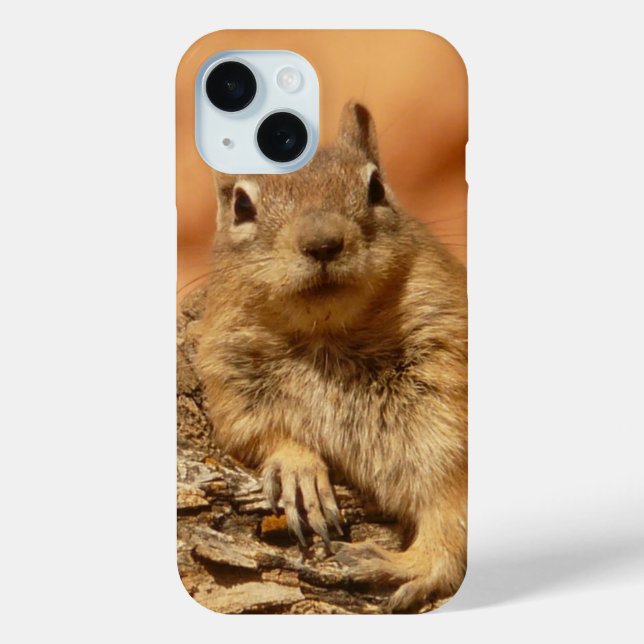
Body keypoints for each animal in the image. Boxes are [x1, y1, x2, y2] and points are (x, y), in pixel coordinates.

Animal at [195, 102, 467, 612]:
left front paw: (414, 565)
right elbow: (254, 433)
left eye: (376, 187)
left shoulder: (447, 396)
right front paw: (299, 470)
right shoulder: (230, 380)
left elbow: (447, 510)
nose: (322, 243)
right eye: (241, 205)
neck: (327, 338)